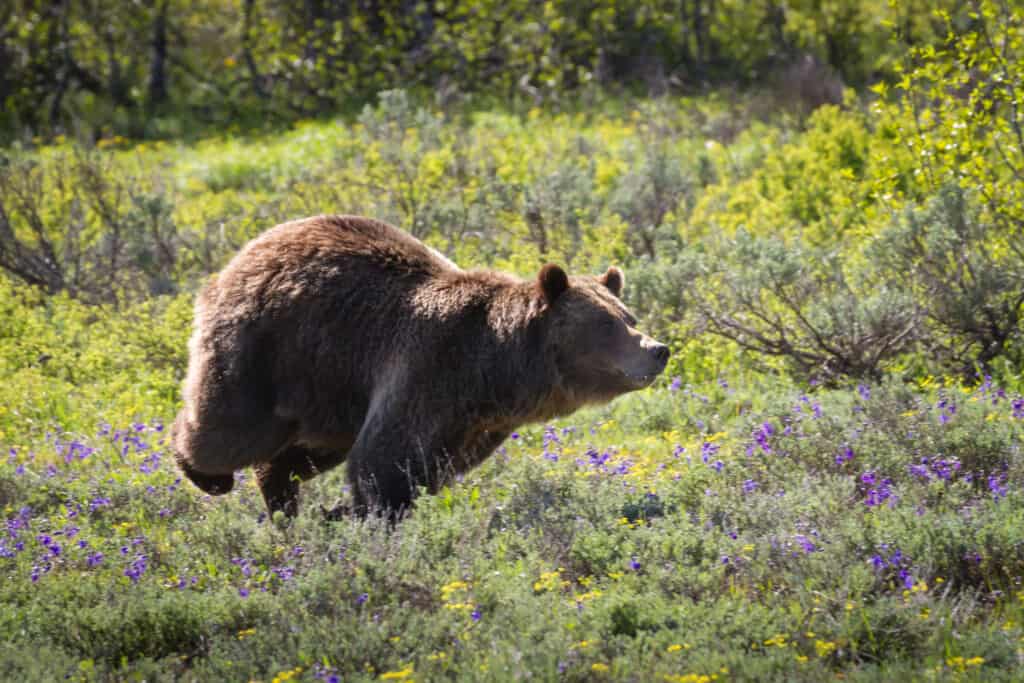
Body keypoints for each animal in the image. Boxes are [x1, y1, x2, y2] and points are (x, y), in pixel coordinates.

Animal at [174, 214, 671, 518]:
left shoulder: (474, 423)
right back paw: (204, 472)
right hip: (268, 348)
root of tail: (246, 252)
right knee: (230, 430)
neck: (496, 370)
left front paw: (339, 512)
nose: (658, 348)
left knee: (305, 451)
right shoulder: (429, 367)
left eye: (629, 316)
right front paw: (363, 514)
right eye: (606, 324)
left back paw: (282, 499)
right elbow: (386, 460)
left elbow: (420, 468)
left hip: (330, 391)